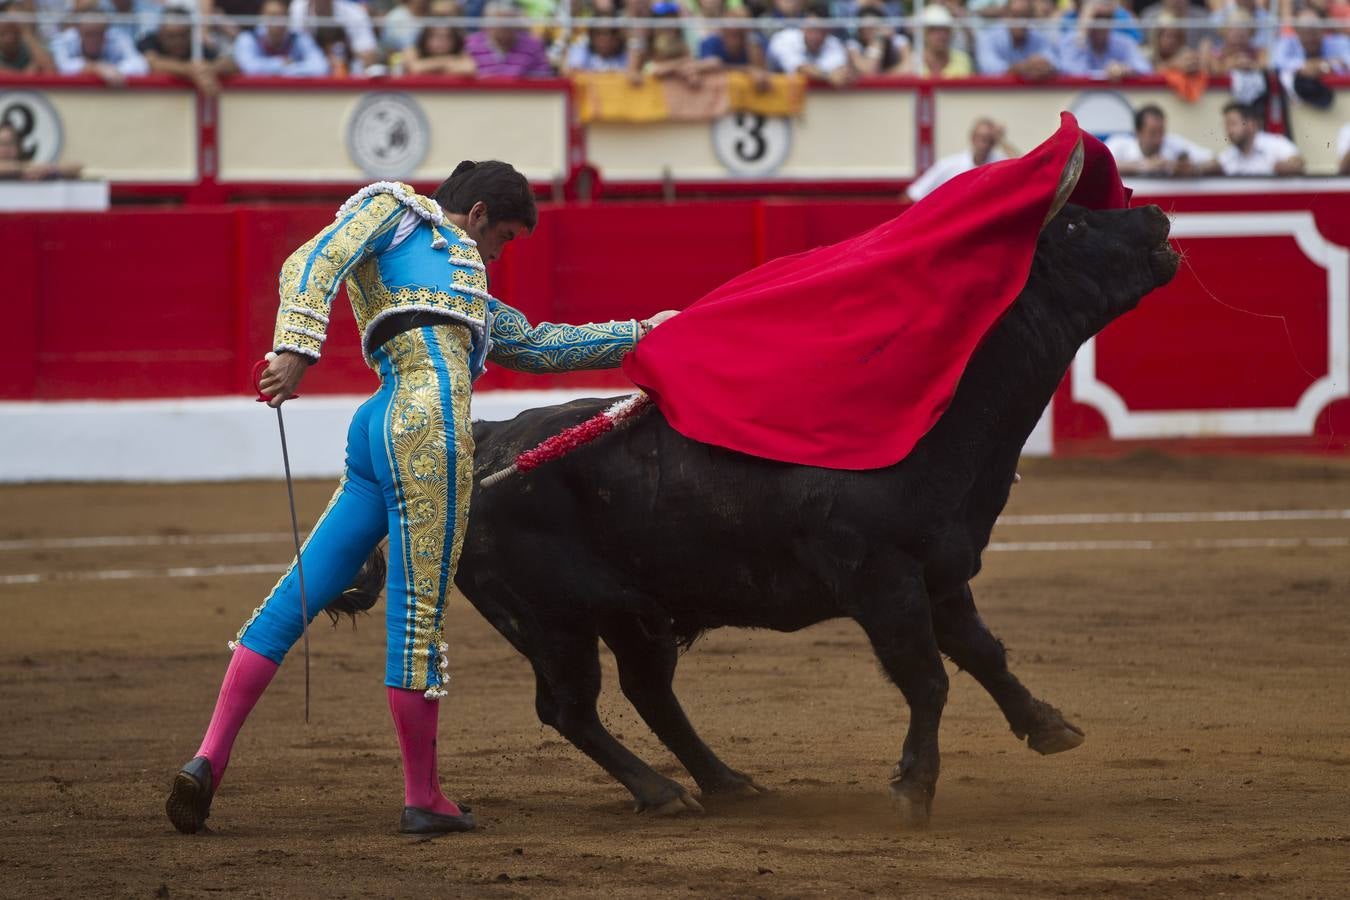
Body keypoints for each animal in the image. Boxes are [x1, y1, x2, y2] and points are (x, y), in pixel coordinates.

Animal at [448, 201, 1177, 825]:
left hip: (634, 613)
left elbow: (983, 654)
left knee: (647, 691)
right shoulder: (881, 579)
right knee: (571, 709)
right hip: (552, 620)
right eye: (1075, 226)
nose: (1156, 214)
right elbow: (927, 677)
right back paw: (663, 793)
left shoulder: (941, 572)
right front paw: (914, 789)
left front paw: (1051, 728)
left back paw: (727, 783)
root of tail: (489, 440)